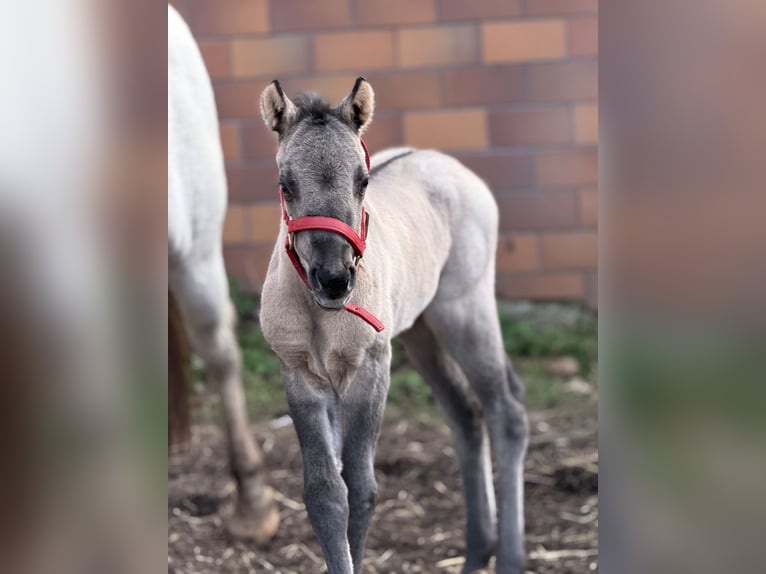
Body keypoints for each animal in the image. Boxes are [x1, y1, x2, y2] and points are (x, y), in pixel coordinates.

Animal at [258, 77, 529, 573]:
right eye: (286, 186)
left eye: (362, 181)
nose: (334, 278)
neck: (322, 312)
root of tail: (447, 163)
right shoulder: (300, 374)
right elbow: (326, 493)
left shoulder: (370, 367)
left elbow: (362, 489)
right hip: (421, 332)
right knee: (466, 412)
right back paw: (476, 552)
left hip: (465, 309)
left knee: (506, 410)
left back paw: (509, 558)